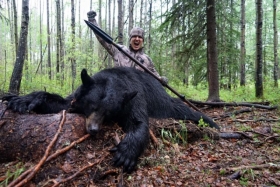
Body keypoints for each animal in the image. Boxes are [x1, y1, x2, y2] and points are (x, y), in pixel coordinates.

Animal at [3, 67, 220, 172]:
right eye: (92, 106)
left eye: (108, 113)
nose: (93, 129)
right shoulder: (77, 97)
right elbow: (62, 103)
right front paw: (22, 100)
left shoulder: (134, 96)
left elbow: (139, 123)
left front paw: (126, 154)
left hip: (165, 103)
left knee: (187, 111)